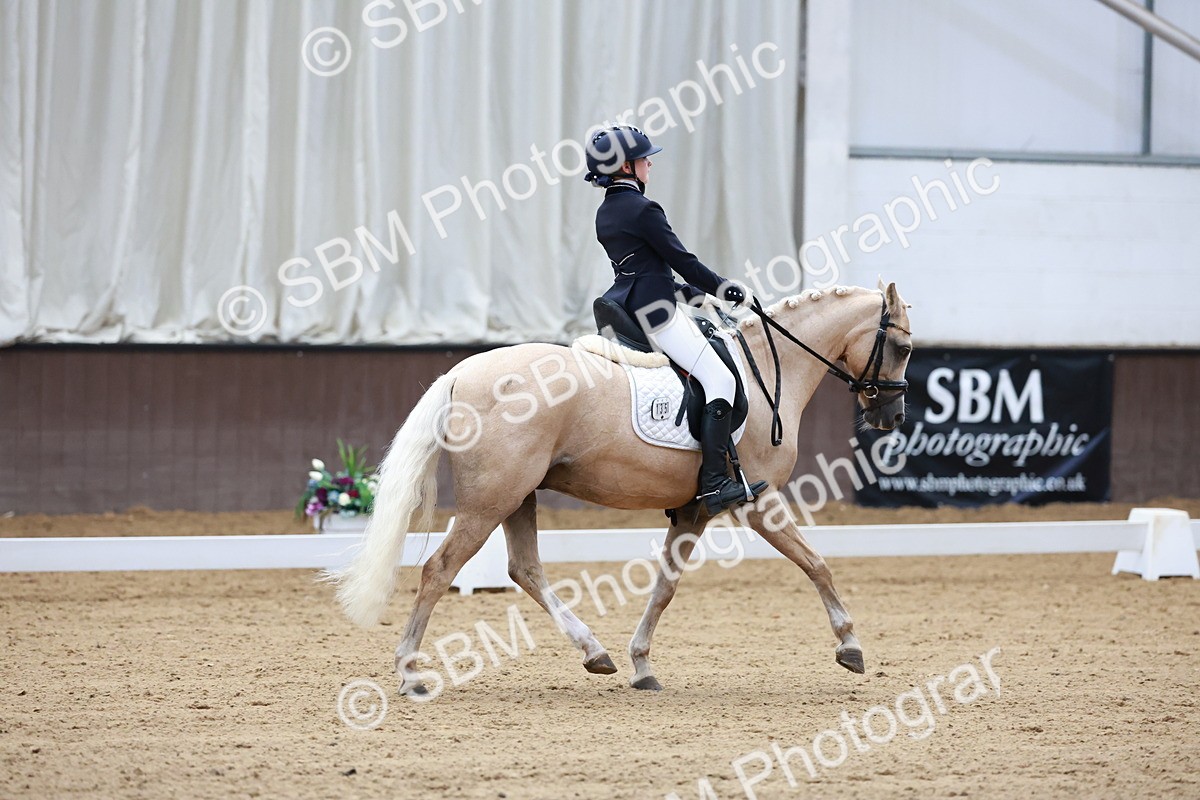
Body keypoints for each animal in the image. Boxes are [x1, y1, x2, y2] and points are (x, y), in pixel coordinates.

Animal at [328, 281, 912, 693]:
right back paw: (409, 674)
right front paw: (851, 645)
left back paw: (595, 653)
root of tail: (463, 371)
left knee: (524, 569)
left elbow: (665, 587)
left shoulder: (694, 510)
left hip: (517, 494)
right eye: (904, 348)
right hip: (490, 500)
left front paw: (641, 665)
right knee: (438, 570)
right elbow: (817, 563)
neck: (768, 370)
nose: (892, 417)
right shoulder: (756, 499)